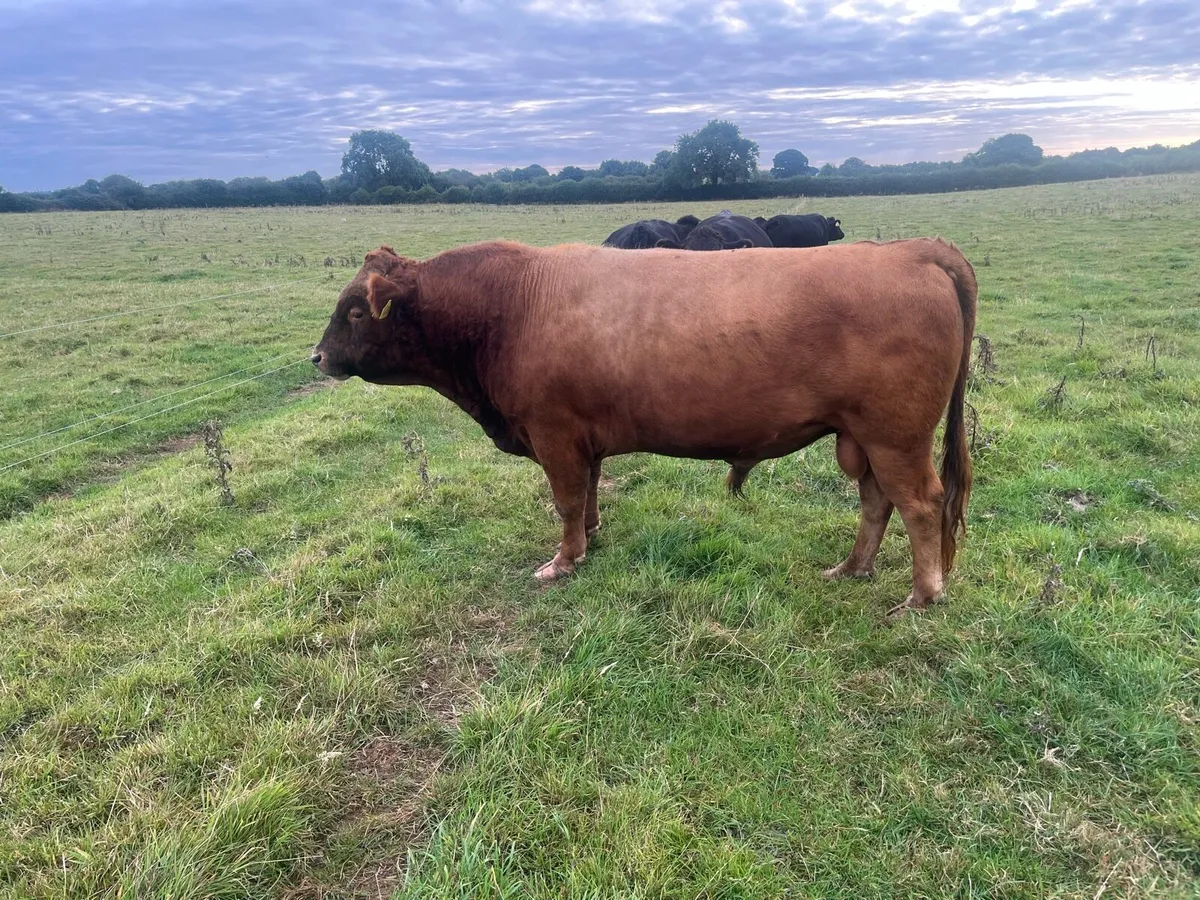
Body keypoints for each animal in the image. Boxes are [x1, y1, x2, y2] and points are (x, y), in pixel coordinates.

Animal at [312, 239, 976, 615]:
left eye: (355, 311)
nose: (316, 358)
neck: (510, 305)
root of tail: (911, 248)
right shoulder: (582, 438)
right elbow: (587, 493)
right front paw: (591, 537)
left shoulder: (553, 433)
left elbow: (564, 498)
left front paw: (563, 562)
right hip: (863, 438)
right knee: (876, 501)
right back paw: (852, 568)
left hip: (895, 436)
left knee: (920, 505)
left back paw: (922, 596)